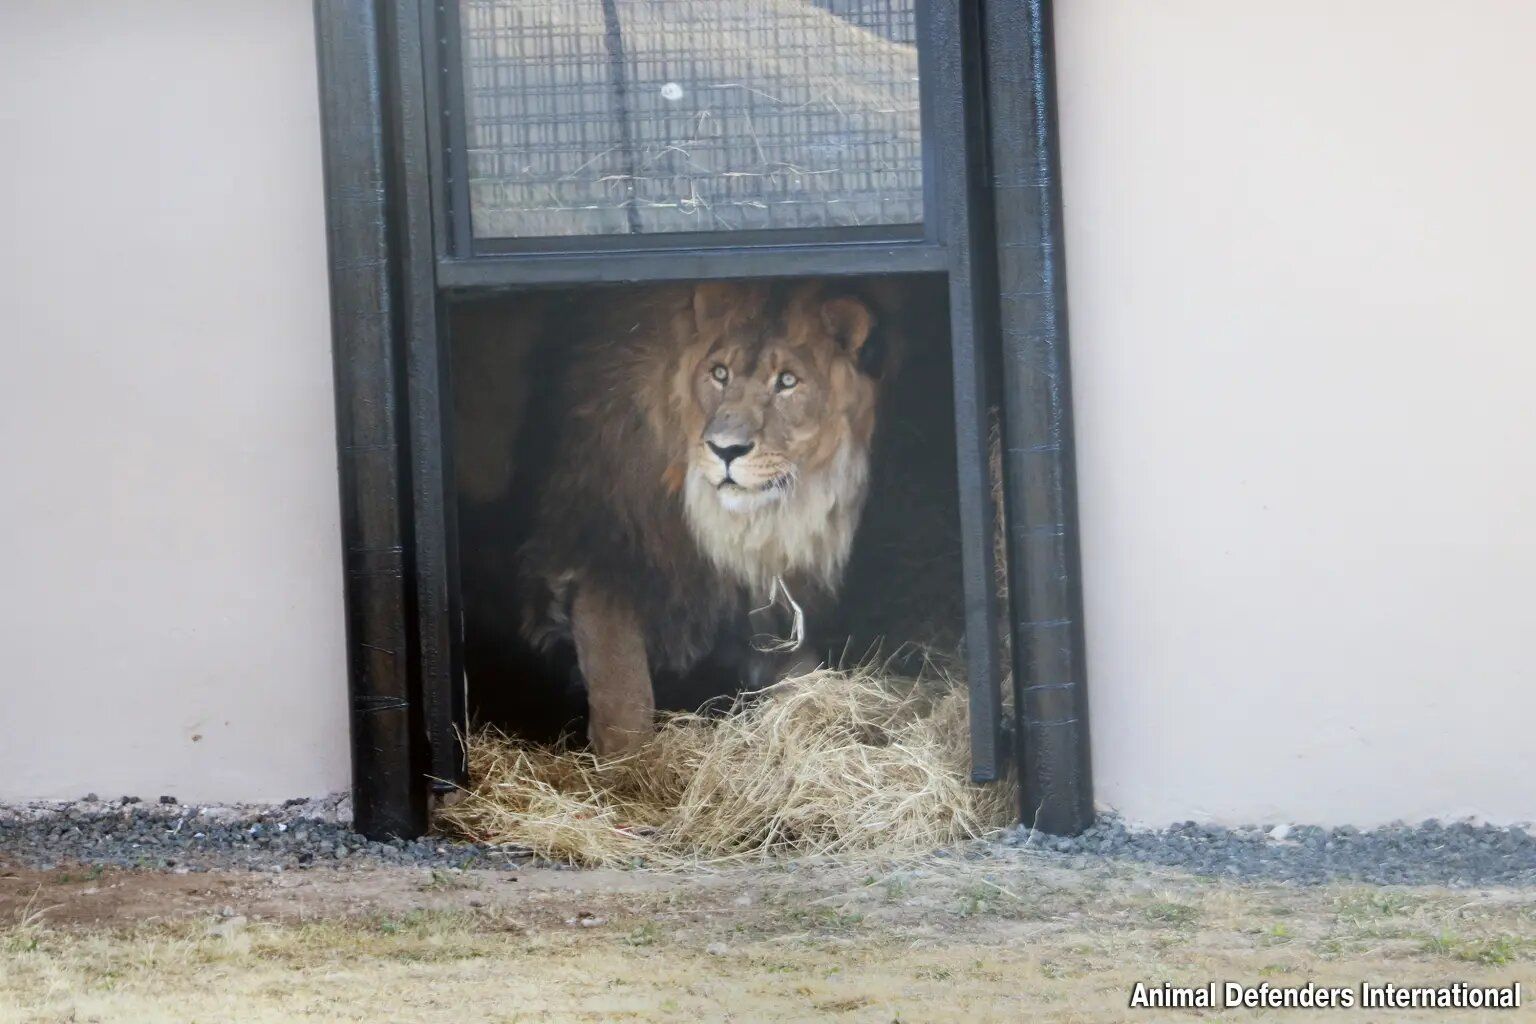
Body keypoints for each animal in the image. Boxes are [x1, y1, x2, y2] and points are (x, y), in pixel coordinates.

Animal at [522, 280, 897, 752]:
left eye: (787, 381)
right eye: (720, 373)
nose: (725, 449)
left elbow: (801, 674)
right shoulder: (600, 550)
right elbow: (622, 688)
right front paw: (630, 765)